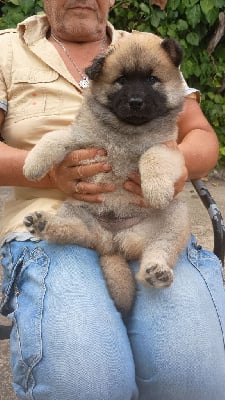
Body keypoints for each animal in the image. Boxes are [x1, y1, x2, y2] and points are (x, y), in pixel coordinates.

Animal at [22, 32, 190, 316]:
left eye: (152, 80)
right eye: (121, 80)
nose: (136, 102)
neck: (126, 132)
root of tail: (113, 243)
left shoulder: (169, 150)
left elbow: (152, 157)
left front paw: (156, 191)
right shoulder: (80, 139)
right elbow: (54, 137)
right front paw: (33, 165)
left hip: (174, 220)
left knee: (160, 248)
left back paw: (157, 272)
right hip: (77, 212)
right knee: (75, 232)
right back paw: (44, 223)